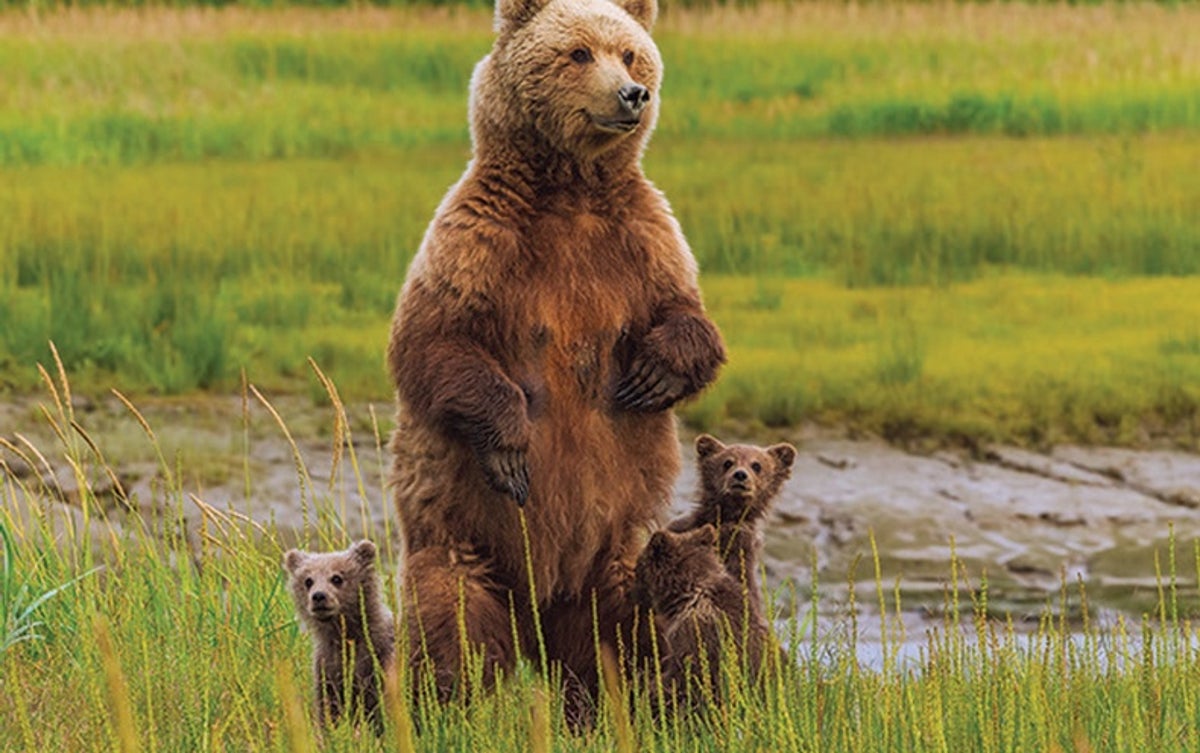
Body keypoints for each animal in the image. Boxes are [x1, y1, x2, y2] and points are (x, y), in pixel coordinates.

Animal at [386, 0, 720, 705]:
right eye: (578, 53)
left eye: (631, 53)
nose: (633, 93)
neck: (569, 190)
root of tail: (538, 606)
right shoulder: (478, 238)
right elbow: (434, 342)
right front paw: (511, 446)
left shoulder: (645, 238)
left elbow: (689, 317)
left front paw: (651, 375)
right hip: (462, 535)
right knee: (453, 623)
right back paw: (448, 702)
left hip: (617, 550)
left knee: (617, 637)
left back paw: (633, 698)